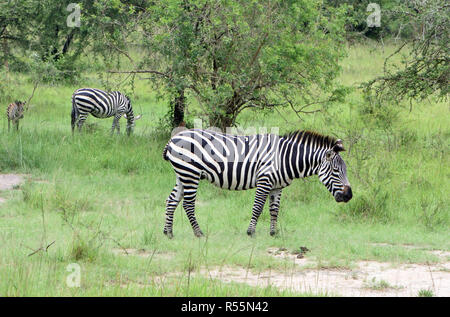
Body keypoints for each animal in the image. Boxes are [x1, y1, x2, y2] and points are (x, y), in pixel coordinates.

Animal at [161, 127, 352, 236]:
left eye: (345, 170)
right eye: (336, 171)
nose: (349, 196)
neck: (284, 158)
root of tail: (174, 139)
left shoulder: (277, 187)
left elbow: (274, 210)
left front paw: (273, 233)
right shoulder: (264, 181)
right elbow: (258, 208)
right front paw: (251, 231)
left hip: (182, 175)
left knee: (171, 200)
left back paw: (168, 232)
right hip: (190, 173)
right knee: (188, 204)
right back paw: (198, 233)